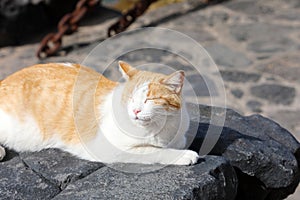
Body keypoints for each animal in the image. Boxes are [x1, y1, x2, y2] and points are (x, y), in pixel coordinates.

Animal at [0, 61, 199, 165]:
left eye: (149, 99)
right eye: (130, 98)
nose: (135, 110)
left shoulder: (179, 136)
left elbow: (177, 142)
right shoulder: (110, 150)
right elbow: (153, 151)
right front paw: (183, 155)